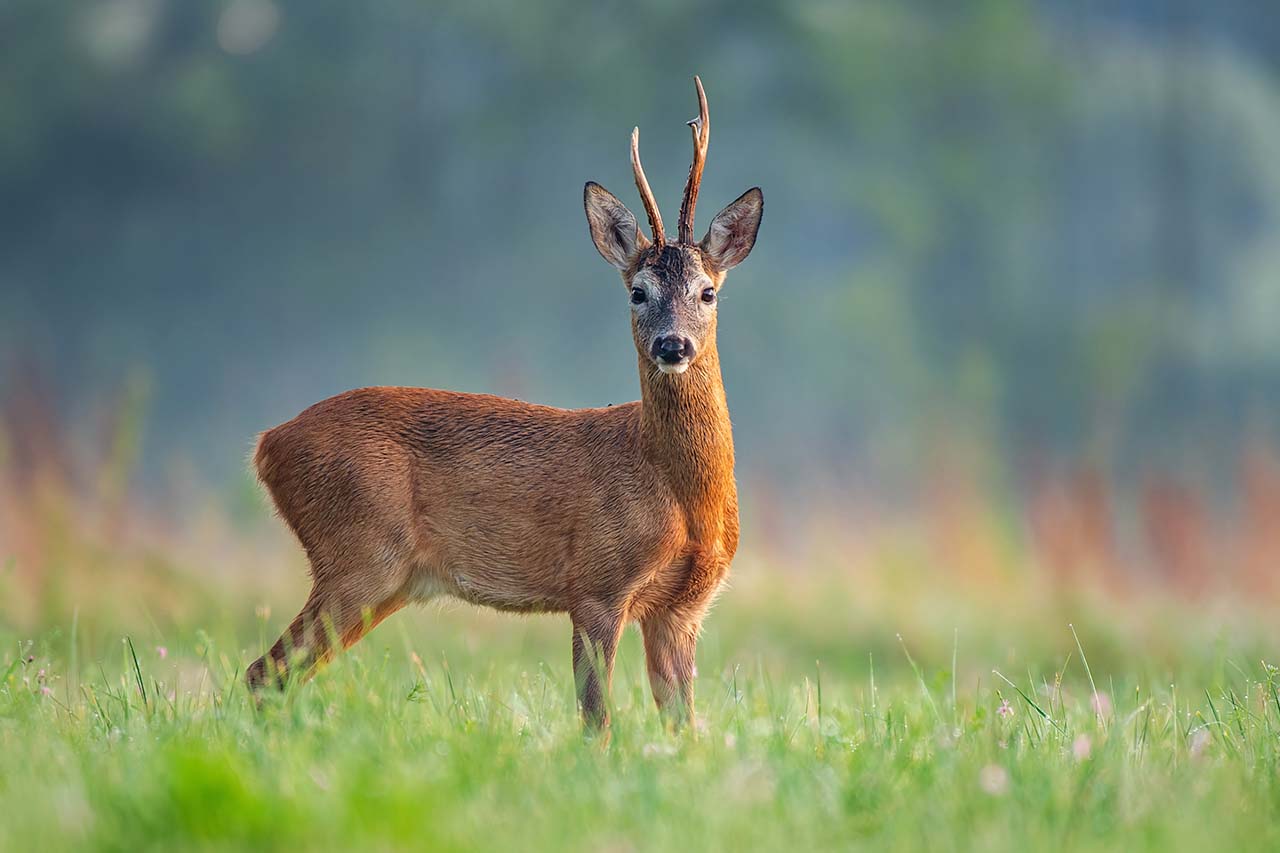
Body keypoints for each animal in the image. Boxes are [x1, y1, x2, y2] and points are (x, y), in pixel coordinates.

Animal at [247, 78, 757, 732]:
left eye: (708, 291)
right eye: (638, 292)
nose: (673, 345)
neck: (677, 489)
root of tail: (268, 444)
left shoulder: (683, 607)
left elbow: (684, 727)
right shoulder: (597, 584)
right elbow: (596, 720)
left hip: (383, 579)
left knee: (277, 675)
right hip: (358, 552)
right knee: (263, 671)